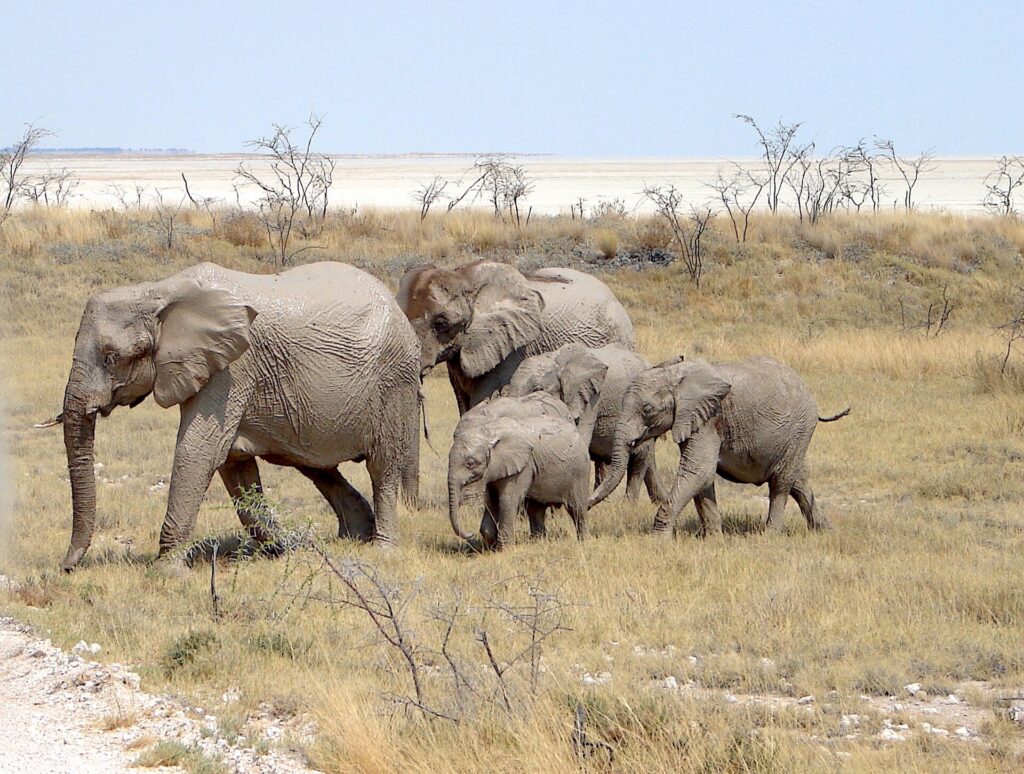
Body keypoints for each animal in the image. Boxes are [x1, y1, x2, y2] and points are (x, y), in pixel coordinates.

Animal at [45, 261, 420, 571]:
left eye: (112, 357)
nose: (66, 568)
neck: (160, 290)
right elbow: (234, 462)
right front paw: (284, 551)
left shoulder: (232, 369)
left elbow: (200, 452)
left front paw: (167, 571)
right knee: (318, 467)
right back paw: (352, 536)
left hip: (395, 382)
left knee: (382, 467)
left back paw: (382, 548)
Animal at [448, 411, 592, 550]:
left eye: (470, 464)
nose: (470, 534)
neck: (488, 432)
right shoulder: (495, 469)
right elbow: (491, 501)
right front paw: (491, 546)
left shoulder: (523, 466)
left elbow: (507, 500)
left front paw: (505, 550)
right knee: (535, 509)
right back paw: (536, 542)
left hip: (580, 470)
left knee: (577, 508)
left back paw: (583, 542)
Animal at [588, 355, 849, 536]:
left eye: (648, 410)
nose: (587, 507)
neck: (677, 376)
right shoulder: (693, 420)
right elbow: (702, 478)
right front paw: (714, 538)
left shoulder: (709, 418)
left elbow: (698, 471)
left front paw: (658, 540)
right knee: (798, 481)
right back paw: (825, 532)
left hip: (800, 427)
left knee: (781, 483)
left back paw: (770, 536)